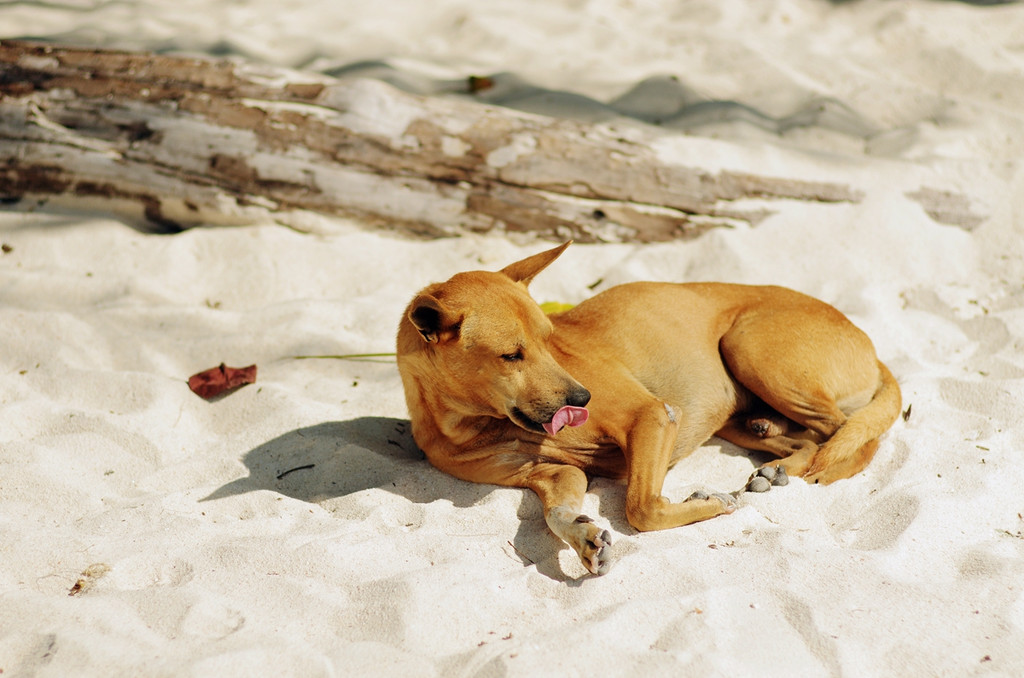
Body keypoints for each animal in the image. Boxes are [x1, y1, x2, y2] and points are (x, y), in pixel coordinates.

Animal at [395, 241, 901, 577]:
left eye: (548, 339)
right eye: (511, 355)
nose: (582, 400)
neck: (478, 423)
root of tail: (869, 344)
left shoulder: (651, 416)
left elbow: (641, 508)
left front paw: (707, 503)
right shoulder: (555, 475)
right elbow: (557, 513)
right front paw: (584, 537)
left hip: (751, 349)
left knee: (852, 436)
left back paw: (814, 471)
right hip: (739, 416)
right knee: (806, 438)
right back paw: (775, 469)